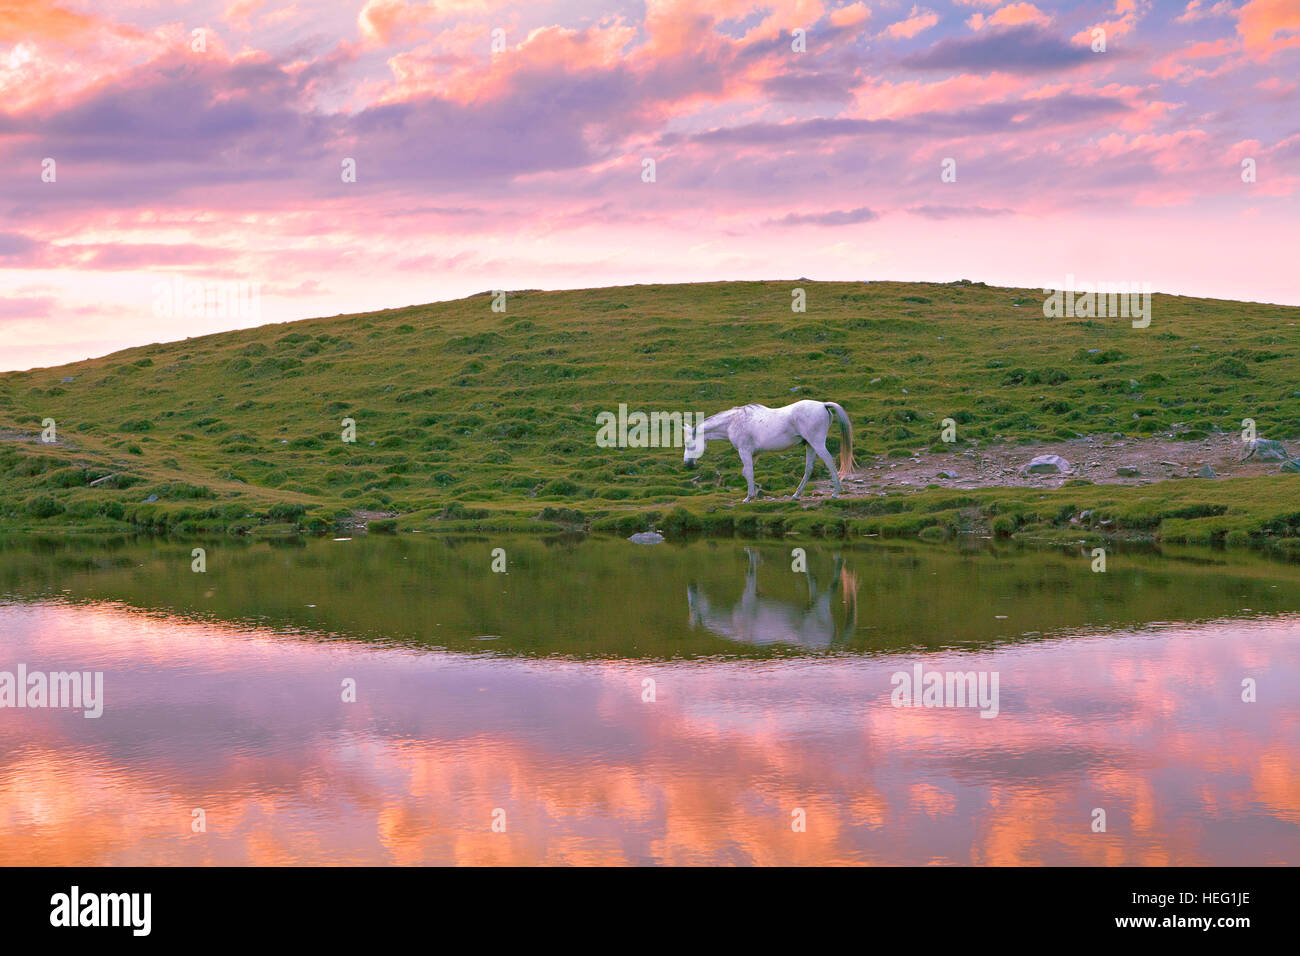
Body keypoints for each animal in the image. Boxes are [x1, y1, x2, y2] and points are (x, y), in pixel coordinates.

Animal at [686, 398, 857, 502]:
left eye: (689, 443)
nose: (688, 463)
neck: (733, 422)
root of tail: (823, 404)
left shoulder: (744, 451)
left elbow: (748, 472)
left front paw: (749, 497)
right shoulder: (754, 454)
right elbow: (746, 472)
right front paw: (757, 491)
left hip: (817, 443)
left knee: (829, 462)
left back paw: (835, 492)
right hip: (810, 445)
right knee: (809, 468)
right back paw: (796, 495)